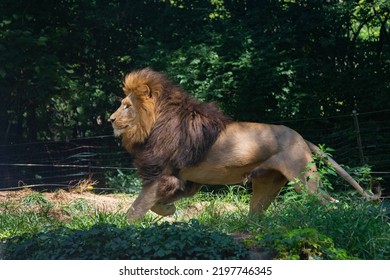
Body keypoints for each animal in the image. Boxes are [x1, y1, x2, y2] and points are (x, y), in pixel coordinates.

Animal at [109, 67, 380, 221]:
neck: (153, 124)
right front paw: (168, 211)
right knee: (256, 217)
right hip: (266, 184)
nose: (110, 119)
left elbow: (136, 208)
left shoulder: (161, 174)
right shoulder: (183, 179)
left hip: (304, 178)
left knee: (331, 203)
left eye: (127, 106)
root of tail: (301, 136)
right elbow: (156, 204)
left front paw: (124, 228)